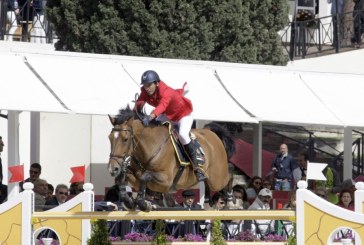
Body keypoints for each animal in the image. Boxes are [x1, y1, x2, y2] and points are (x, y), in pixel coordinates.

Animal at [106, 105, 235, 211]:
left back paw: (230, 201)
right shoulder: (137, 180)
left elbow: (145, 176)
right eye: (109, 138)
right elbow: (123, 177)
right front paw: (128, 202)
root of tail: (212, 134)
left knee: (229, 174)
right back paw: (209, 199)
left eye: (125, 139)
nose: (113, 168)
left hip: (218, 178)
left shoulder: (165, 181)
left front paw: (144, 204)